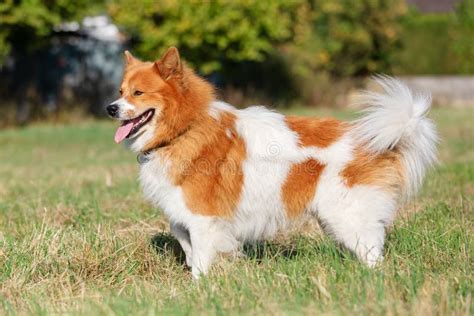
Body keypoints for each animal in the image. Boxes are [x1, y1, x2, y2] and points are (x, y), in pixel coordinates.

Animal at [107, 45, 436, 278]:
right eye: (120, 92)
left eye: (138, 93)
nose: (111, 108)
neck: (185, 129)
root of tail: (379, 142)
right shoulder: (184, 217)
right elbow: (187, 248)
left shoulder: (203, 219)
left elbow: (200, 260)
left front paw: (199, 291)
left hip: (348, 216)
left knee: (374, 255)